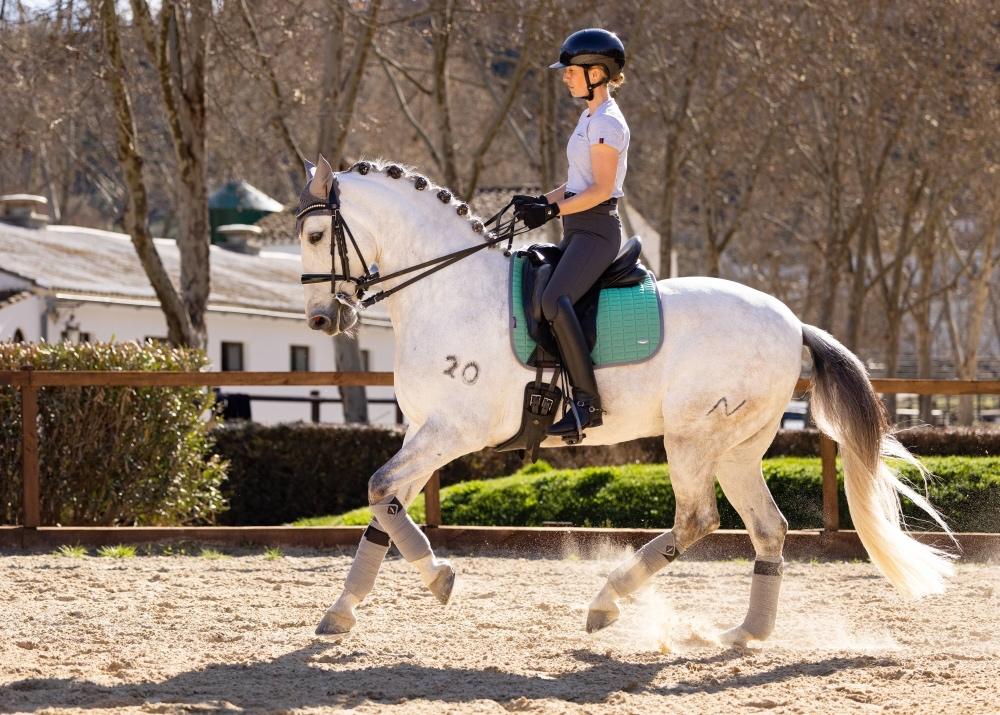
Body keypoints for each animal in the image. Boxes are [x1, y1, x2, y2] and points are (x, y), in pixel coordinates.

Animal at [295, 155, 954, 646]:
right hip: (737, 449)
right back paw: (745, 633)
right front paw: (343, 610)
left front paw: (439, 577)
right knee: (767, 529)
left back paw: (607, 601)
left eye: (314, 234)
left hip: (692, 439)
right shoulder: (424, 432)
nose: (323, 318)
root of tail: (794, 325)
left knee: (697, 519)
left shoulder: (455, 430)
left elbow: (379, 489)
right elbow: (386, 507)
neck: (450, 291)